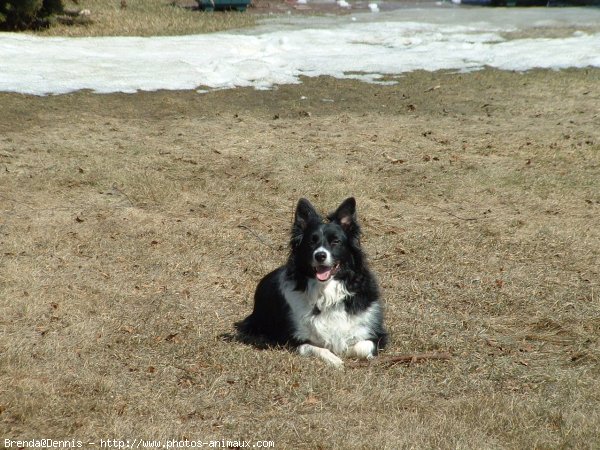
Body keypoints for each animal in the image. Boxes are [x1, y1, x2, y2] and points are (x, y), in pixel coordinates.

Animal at [239, 199, 390, 368]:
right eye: (311, 242)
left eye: (336, 241)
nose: (320, 255)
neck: (326, 291)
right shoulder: (291, 339)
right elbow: (315, 348)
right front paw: (335, 360)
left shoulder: (377, 335)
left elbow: (360, 346)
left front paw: (345, 352)